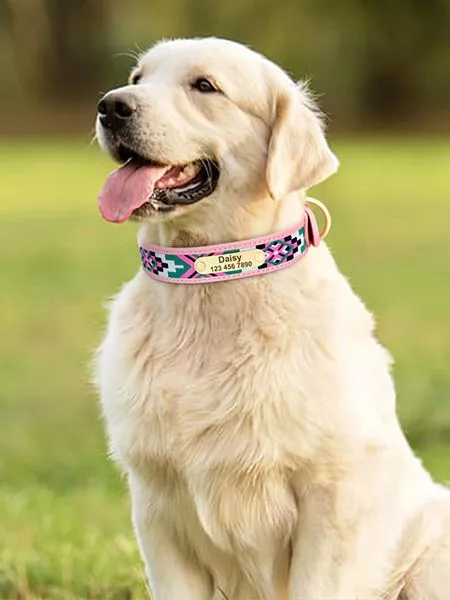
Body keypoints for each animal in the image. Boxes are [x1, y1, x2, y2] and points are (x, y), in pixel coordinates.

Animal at [95, 38, 450, 600]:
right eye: (137, 77)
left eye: (205, 86)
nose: (111, 106)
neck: (212, 284)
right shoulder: (157, 502)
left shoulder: (331, 499)